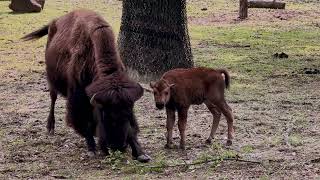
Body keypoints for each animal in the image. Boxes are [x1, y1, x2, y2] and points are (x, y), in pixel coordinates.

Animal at [22, 9, 150, 162]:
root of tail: (55, 22)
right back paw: (50, 127)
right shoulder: (79, 97)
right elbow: (85, 121)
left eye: (129, 113)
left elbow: (131, 130)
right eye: (104, 113)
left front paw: (141, 153)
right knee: (53, 98)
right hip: (51, 80)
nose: (118, 146)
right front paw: (91, 149)